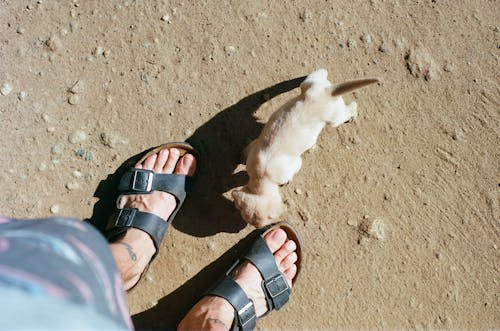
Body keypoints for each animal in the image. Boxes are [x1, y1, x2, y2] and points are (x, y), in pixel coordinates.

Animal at [232, 68, 376, 228]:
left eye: (266, 222)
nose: (258, 228)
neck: (261, 177)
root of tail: (327, 93)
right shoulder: (255, 146)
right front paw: (242, 158)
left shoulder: (296, 164)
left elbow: (293, 171)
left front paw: (287, 182)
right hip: (309, 85)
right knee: (317, 74)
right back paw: (322, 72)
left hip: (335, 118)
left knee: (348, 110)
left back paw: (353, 112)